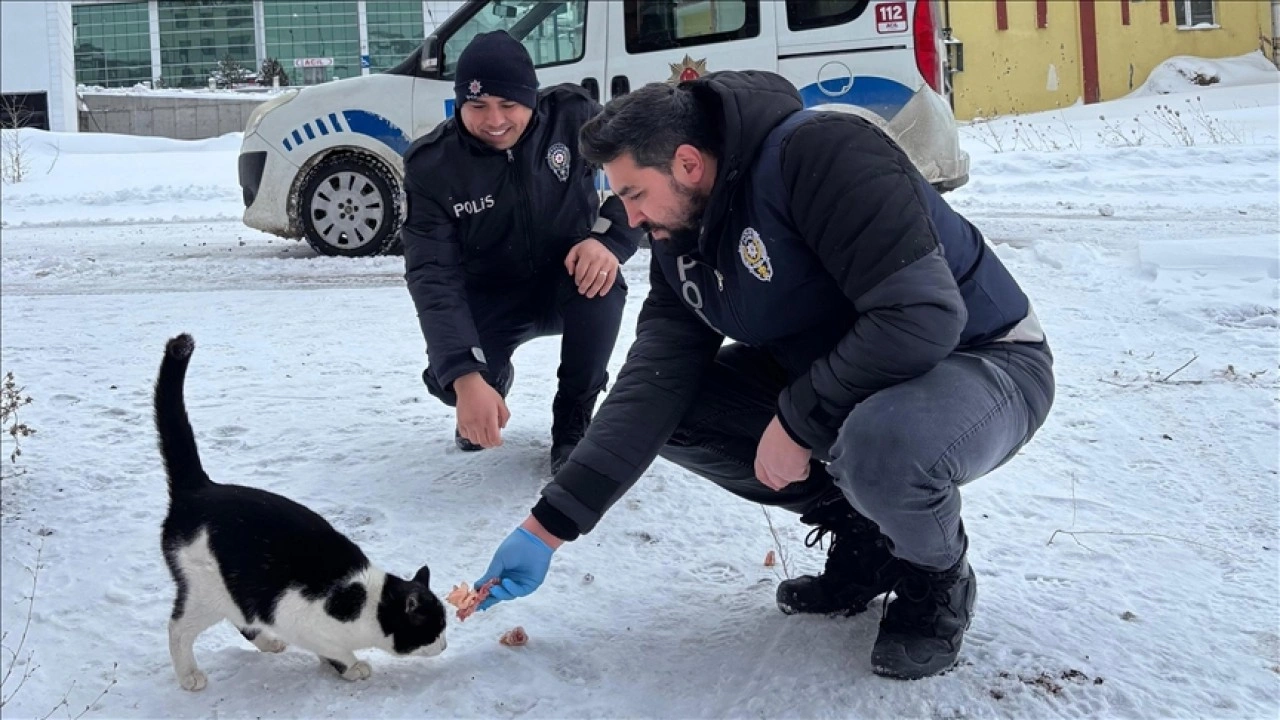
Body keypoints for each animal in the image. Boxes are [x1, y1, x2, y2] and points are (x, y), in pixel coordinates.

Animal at [154, 333, 448, 686]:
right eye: (434, 629)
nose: (445, 645)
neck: (365, 601)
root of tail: (200, 488)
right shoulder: (299, 618)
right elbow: (336, 650)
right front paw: (353, 667)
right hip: (207, 590)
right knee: (177, 628)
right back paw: (190, 676)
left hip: (235, 592)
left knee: (242, 619)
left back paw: (268, 643)